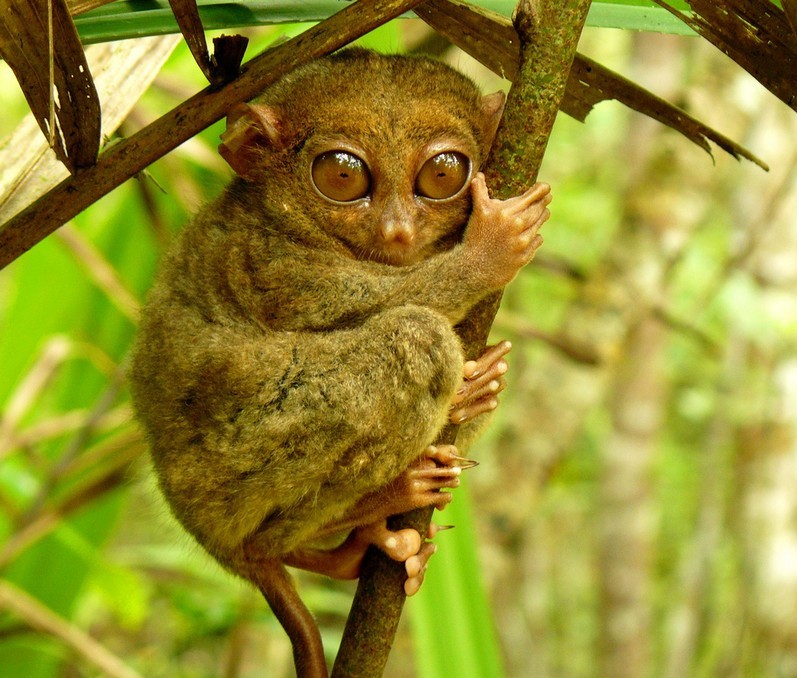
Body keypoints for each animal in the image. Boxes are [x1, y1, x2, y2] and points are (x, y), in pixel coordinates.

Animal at [129, 48, 551, 677]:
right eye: (343, 177)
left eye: (442, 174)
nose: (398, 230)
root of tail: (215, 545)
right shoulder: (272, 266)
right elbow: (384, 299)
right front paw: (490, 251)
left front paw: (484, 383)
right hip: (234, 465)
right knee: (417, 338)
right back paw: (379, 503)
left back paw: (351, 552)